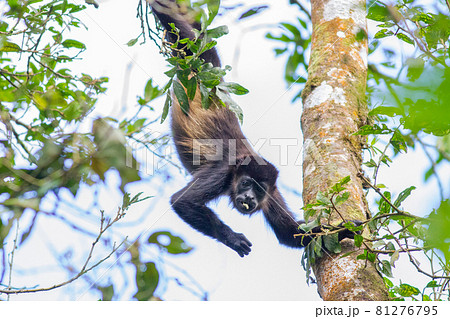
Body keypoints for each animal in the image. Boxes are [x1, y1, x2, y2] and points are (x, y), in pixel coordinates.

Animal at [149, 0, 356, 258]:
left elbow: (291, 234)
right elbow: (182, 201)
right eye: (246, 183)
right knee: (180, 30)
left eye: (259, 189)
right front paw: (232, 238)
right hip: (193, 55)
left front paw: (346, 230)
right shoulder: (221, 172)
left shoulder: (272, 194)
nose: (248, 197)